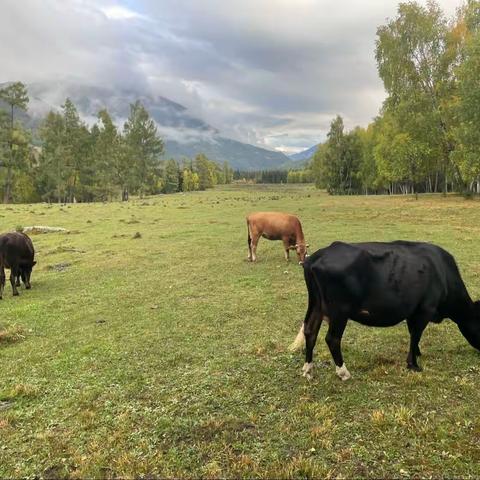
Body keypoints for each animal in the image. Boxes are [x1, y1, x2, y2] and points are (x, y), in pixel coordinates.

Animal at [290, 242, 480, 380]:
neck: (443, 274)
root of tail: (317, 256)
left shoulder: (413, 312)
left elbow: (413, 335)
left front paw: (417, 353)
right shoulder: (425, 309)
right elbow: (416, 334)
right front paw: (413, 364)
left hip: (316, 304)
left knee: (310, 331)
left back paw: (308, 369)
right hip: (339, 311)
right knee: (332, 339)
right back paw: (343, 372)